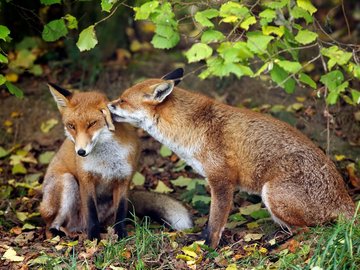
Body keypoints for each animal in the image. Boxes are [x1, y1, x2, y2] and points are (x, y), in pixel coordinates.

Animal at [39, 83, 193, 239]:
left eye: (92, 124)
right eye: (71, 126)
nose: (81, 152)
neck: (106, 160)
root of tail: (77, 227)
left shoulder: (124, 179)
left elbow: (121, 211)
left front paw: (120, 234)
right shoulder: (86, 178)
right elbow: (91, 212)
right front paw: (93, 237)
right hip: (67, 181)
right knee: (50, 225)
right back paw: (58, 232)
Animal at [108, 68, 356, 248]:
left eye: (122, 101)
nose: (107, 105)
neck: (193, 129)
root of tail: (344, 198)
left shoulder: (222, 181)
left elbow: (216, 222)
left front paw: (208, 248)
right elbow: (210, 222)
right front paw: (199, 240)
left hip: (271, 194)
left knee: (309, 230)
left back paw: (278, 243)